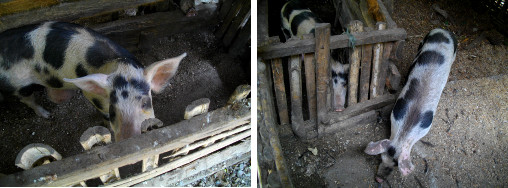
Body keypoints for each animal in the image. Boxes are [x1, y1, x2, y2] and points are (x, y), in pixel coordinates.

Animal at [0, 21, 187, 141]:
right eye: (113, 111)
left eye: (146, 103)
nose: (129, 140)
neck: (119, 65)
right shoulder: (92, 97)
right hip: (18, 84)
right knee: (27, 99)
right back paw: (47, 114)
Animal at [364, 28, 458, 182]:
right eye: (381, 158)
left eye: (395, 166)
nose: (378, 179)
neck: (405, 131)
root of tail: (443, 31)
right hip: (423, 42)